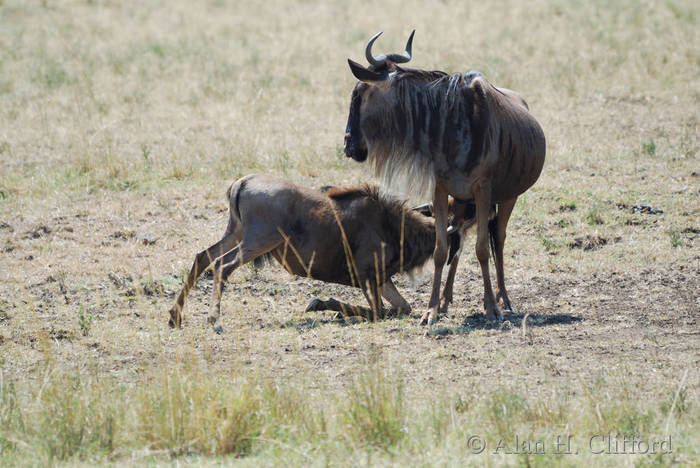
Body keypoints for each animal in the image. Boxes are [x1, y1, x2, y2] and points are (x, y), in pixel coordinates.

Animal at [167, 175, 456, 332]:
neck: (392, 225)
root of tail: (242, 182)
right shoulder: (368, 277)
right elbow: (378, 312)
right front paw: (323, 305)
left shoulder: (382, 280)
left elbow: (402, 307)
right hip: (257, 241)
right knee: (220, 265)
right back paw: (214, 320)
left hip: (236, 234)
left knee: (202, 257)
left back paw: (175, 316)